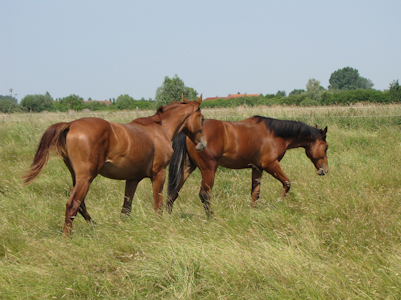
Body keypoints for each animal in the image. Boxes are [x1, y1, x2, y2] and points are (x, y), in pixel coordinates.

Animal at [24, 95, 206, 237]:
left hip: (77, 177)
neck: (160, 130)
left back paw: (95, 227)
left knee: (81, 204)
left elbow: (126, 209)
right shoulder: (159, 174)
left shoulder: (132, 179)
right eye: (202, 118)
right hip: (86, 178)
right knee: (73, 205)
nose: (202, 145)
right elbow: (158, 205)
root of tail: (70, 125)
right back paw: (67, 237)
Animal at [167, 115, 326, 216]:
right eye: (326, 147)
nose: (324, 170)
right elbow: (287, 183)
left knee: (173, 192)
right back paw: (211, 217)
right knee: (204, 195)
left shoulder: (257, 168)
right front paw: (279, 201)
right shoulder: (270, 165)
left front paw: (253, 212)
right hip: (209, 169)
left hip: (187, 167)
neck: (274, 134)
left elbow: (255, 193)